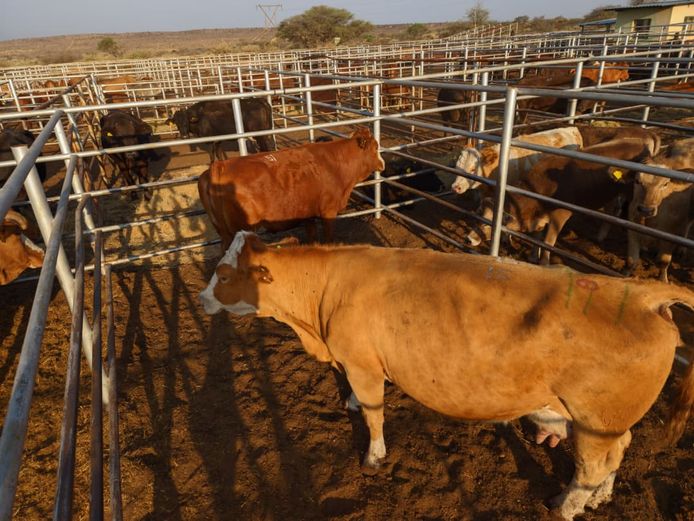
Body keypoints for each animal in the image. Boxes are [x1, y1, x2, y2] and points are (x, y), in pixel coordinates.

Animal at [197, 128, 384, 249]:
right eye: (376, 147)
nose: (382, 164)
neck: (335, 164)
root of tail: (219, 166)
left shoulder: (308, 214)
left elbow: (312, 236)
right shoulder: (328, 212)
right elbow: (329, 237)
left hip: (223, 232)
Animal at [199, 231, 694, 521]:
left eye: (223, 273)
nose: (202, 299)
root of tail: (640, 292)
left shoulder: (364, 365)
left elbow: (375, 416)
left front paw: (374, 456)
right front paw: (351, 404)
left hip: (593, 421)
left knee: (592, 467)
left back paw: (565, 507)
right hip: (608, 422)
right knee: (618, 453)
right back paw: (600, 498)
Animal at [505, 138, 655, 265]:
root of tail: (641, 142)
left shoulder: (561, 213)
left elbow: (548, 240)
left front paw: (543, 263)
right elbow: (537, 237)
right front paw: (532, 257)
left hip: (633, 193)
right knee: (612, 210)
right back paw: (599, 237)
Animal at [618, 137, 694, 282]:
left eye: (665, 183)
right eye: (637, 181)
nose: (645, 210)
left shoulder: (670, 233)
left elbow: (663, 261)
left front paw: (662, 280)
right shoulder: (632, 225)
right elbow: (632, 260)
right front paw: (624, 275)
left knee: (688, 224)